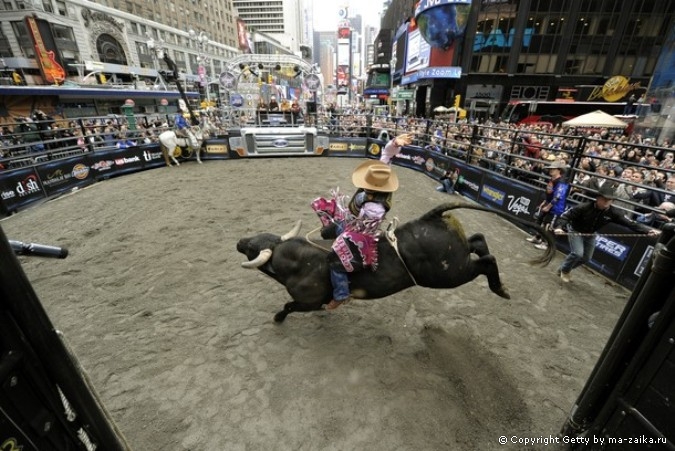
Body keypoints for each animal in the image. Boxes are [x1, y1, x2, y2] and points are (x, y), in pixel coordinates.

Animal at [238, 203, 556, 324]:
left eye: (253, 247)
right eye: (256, 237)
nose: (240, 241)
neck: (299, 262)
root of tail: (429, 217)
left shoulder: (308, 301)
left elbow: (290, 305)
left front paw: (278, 317)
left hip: (448, 274)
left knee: (486, 260)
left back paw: (500, 288)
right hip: (457, 259)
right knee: (478, 240)